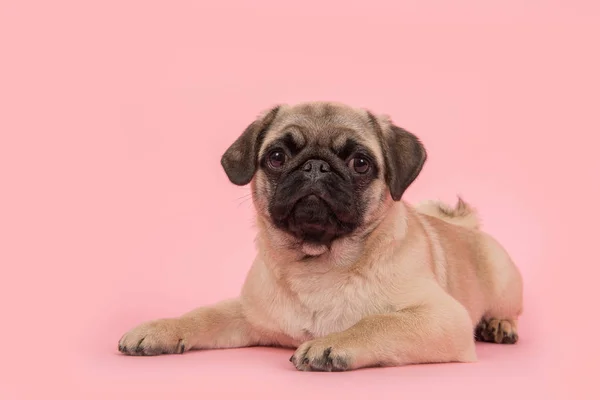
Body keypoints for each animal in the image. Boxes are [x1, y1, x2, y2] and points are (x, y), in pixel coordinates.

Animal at [117, 101, 520, 370]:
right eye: (277, 156)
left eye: (360, 163)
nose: (315, 166)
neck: (318, 264)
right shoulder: (247, 315)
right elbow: (203, 315)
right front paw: (161, 329)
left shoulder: (442, 318)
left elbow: (378, 322)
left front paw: (332, 345)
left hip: (502, 278)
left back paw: (499, 325)